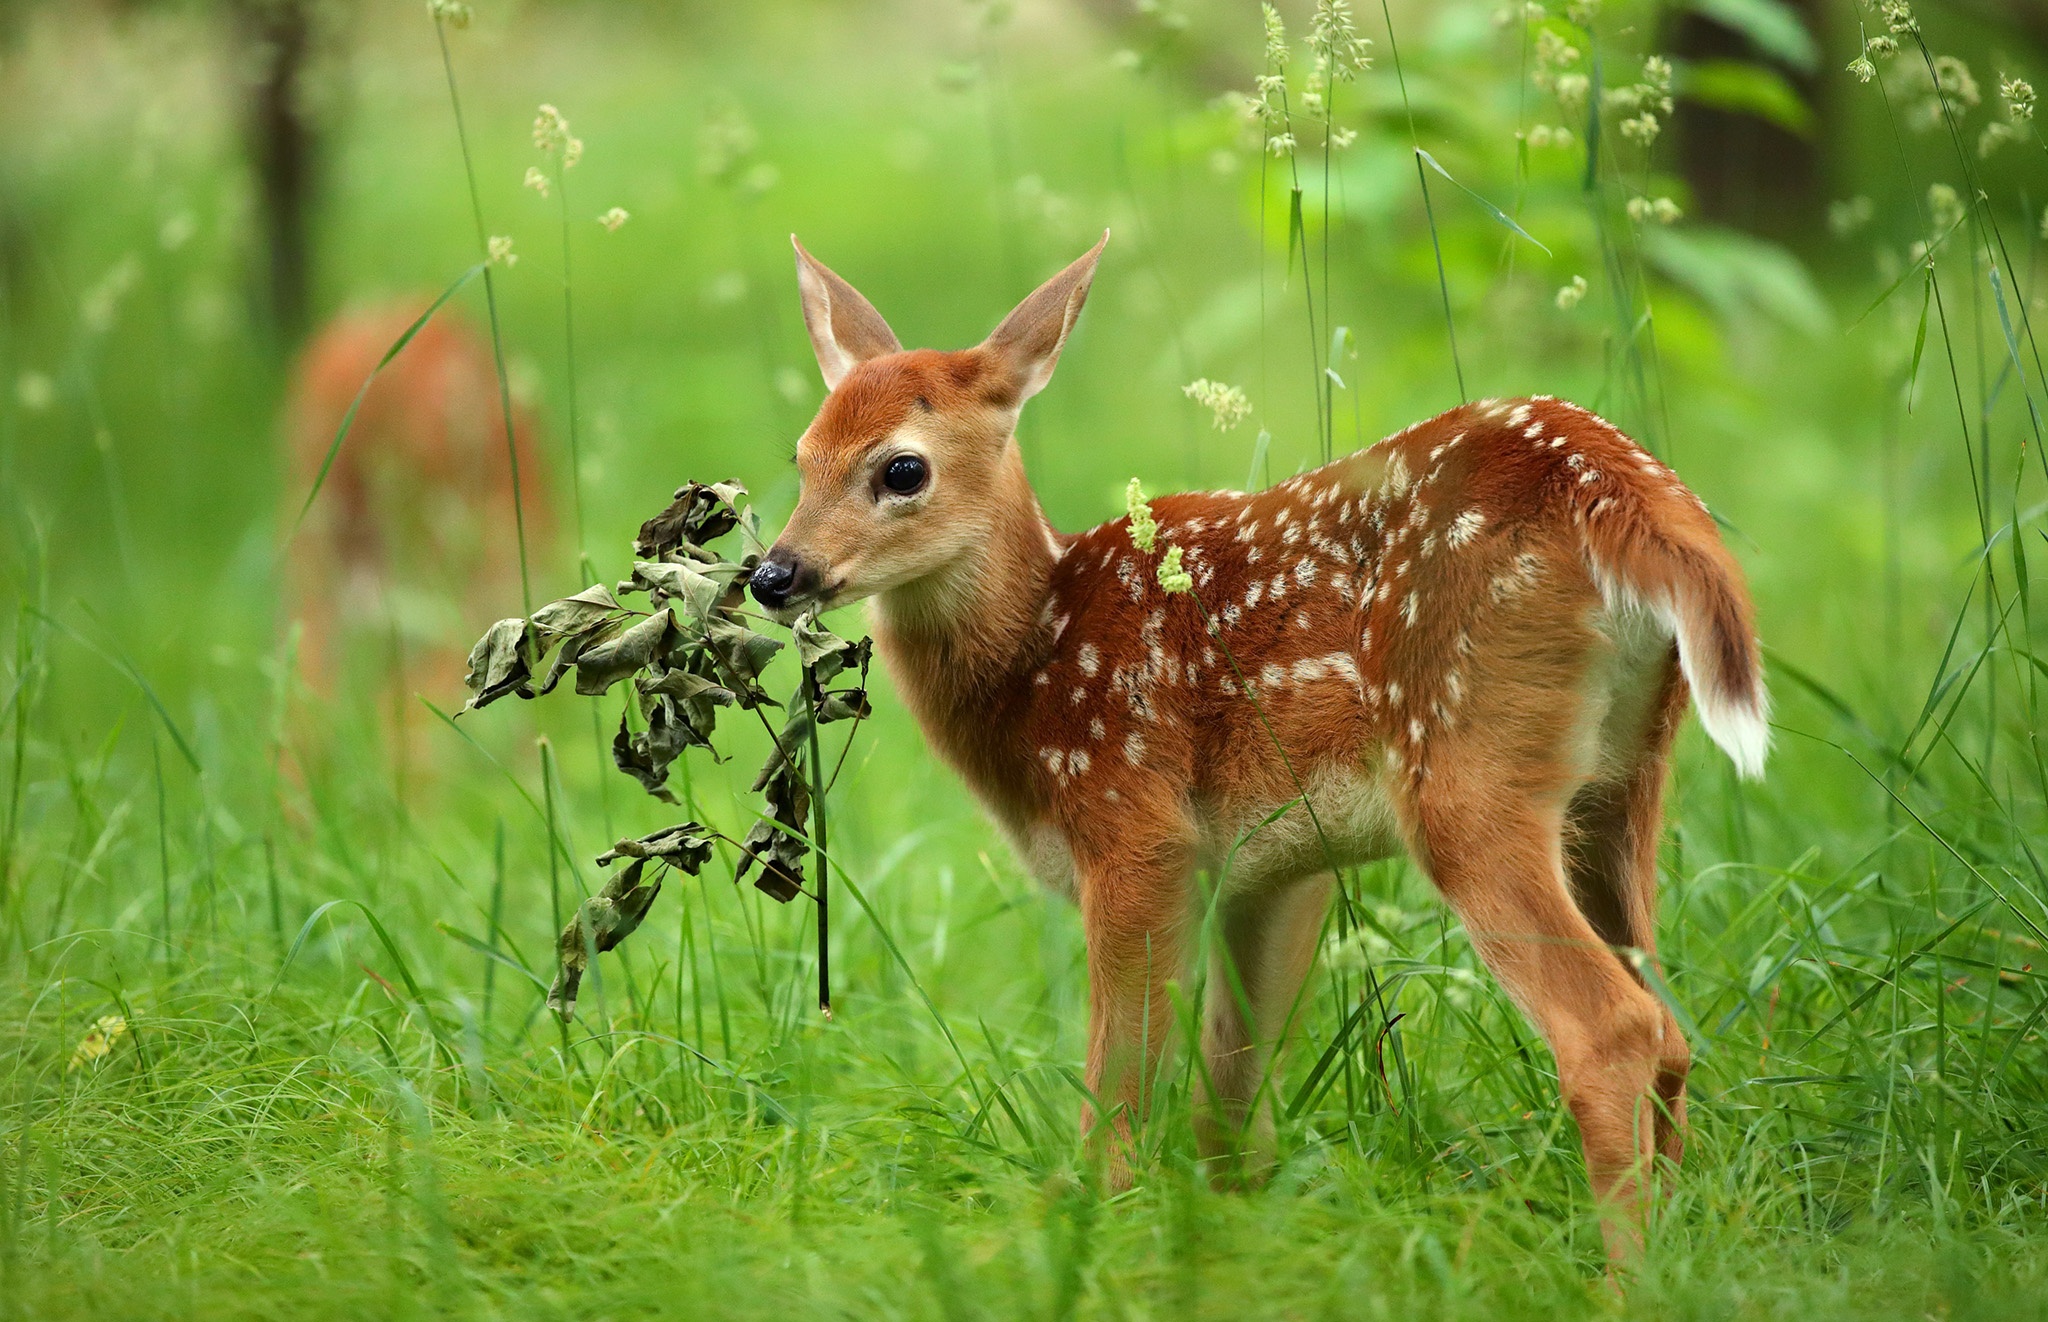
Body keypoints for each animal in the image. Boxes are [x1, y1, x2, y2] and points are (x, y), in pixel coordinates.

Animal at [745, 233, 1769, 1268]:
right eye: (801, 456)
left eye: (901, 470)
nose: (774, 574)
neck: (1035, 659)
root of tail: (1619, 487)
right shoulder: (1273, 866)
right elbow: (1230, 1101)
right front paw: (1233, 1239)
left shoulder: (1136, 826)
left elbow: (1124, 1090)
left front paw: (1092, 1232)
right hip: (1622, 780)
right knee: (1672, 1024)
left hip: (1465, 767)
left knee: (1613, 1029)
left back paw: (1624, 1279)